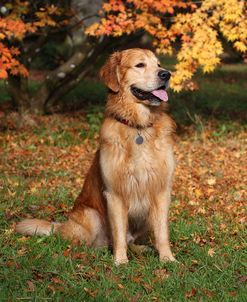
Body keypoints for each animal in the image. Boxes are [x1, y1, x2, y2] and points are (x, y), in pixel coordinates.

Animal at [15, 49, 176, 264]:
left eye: (158, 64)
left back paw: (141, 249)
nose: (166, 74)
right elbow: (119, 233)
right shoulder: (114, 193)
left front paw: (167, 258)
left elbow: (162, 231)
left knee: (130, 239)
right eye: (140, 65)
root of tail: (62, 226)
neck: (138, 128)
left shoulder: (161, 190)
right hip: (90, 216)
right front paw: (120, 261)